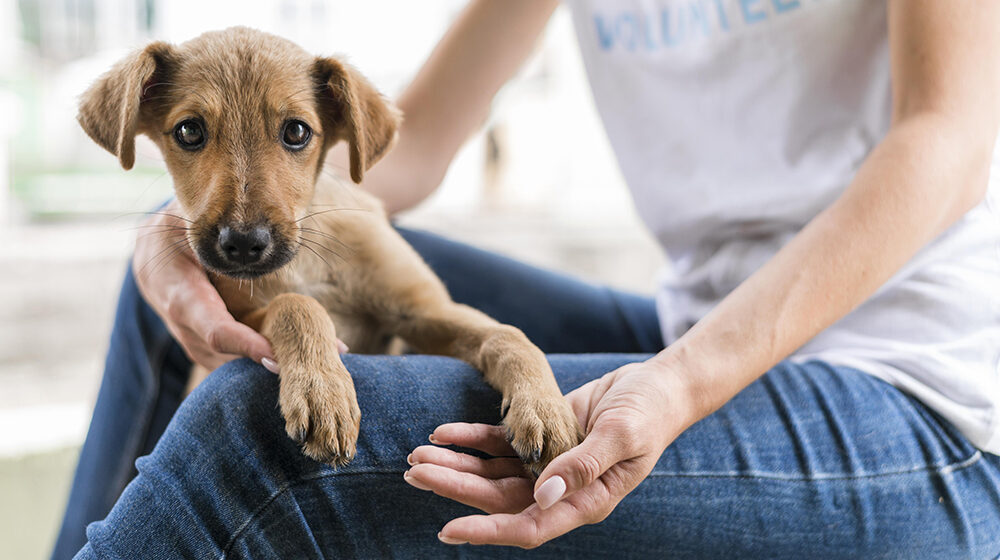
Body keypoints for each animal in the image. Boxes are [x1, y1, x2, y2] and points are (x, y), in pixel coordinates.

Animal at [78, 26, 584, 472]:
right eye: (188, 132)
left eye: (297, 132)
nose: (242, 244)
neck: (308, 259)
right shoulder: (239, 319)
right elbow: (296, 305)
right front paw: (323, 392)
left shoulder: (424, 312)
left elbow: (509, 336)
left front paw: (546, 408)